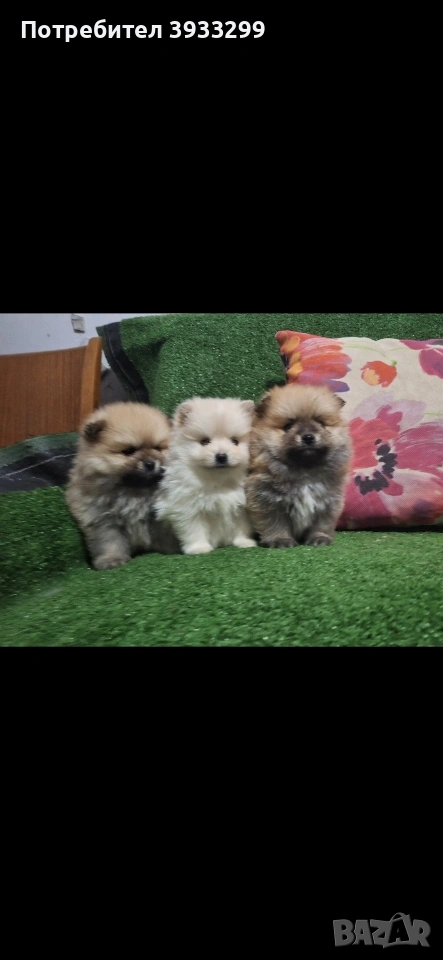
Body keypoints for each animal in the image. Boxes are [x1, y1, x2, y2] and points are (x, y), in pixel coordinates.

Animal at [66, 402, 179, 569]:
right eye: (129, 451)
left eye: (158, 448)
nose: (150, 463)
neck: (135, 490)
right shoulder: (102, 519)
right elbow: (109, 542)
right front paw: (111, 560)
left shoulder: (160, 515)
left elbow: (167, 535)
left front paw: (175, 550)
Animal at [156, 397, 257, 555]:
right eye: (204, 441)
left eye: (235, 441)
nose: (221, 456)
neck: (219, 482)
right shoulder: (187, 508)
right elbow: (193, 530)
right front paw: (199, 548)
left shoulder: (241, 508)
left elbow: (242, 528)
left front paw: (245, 542)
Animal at [246, 384, 352, 547]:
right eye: (288, 426)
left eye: (321, 423)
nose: (308, 437)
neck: (304, 471)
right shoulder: (267, 501)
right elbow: (275, 524)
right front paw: (280, 540)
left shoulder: (328, 502)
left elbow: (322, 524)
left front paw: (320, 538)